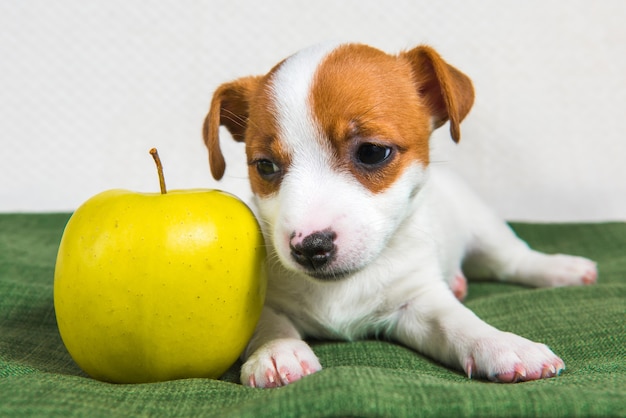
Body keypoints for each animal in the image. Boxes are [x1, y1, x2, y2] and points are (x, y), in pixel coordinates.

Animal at [202, 42, 596, 388]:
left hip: (484, 228)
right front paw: (277, 351)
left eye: (372, 152)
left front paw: (502, 344)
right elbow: (267, 322)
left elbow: (458, 321)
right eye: (265, 166)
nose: (310, 248)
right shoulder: (266, 297)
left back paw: (561, 269)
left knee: (513, 260)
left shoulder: (419, 303)